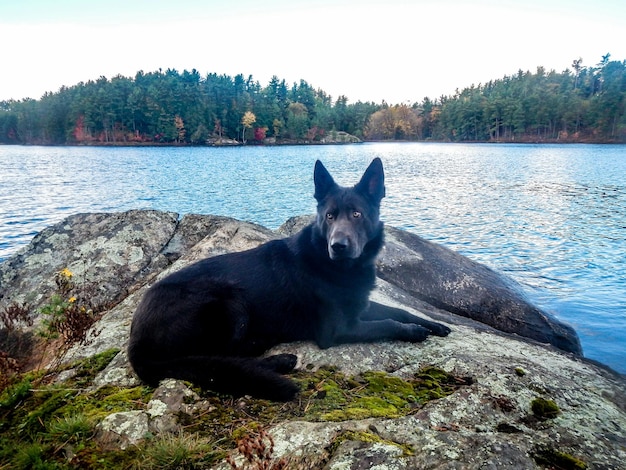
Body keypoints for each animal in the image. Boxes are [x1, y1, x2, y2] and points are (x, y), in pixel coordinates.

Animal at [127, 158, 448, 400]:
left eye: (357, 214)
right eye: (330, 216)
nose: (338, 246)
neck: (338, 266)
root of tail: (136, 343)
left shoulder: (359, 305)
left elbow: (398, 309)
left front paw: (432, 324)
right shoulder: (338, 329)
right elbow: (387, 322)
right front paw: (413, 331)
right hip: (229, 300)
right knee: (221, 357)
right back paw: (278, 360)